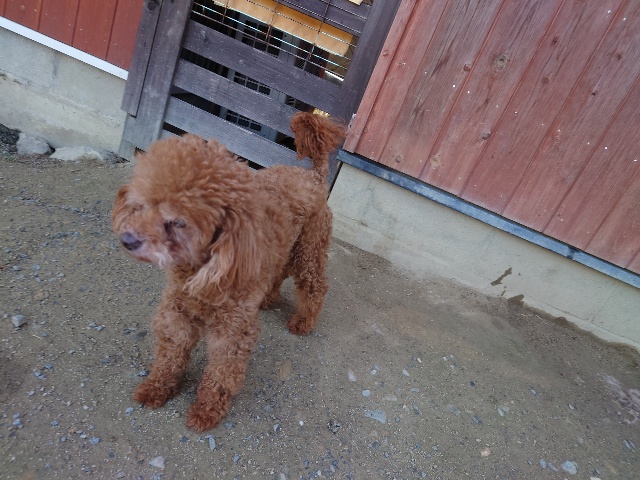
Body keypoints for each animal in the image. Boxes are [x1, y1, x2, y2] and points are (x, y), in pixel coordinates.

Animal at [112, 112, 344, 431]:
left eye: (178, 221)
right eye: (143, 205)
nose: (128, 239)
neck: (200, 268)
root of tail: (314, 175)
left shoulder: (232, 328)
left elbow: (221, 372)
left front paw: (206, 410)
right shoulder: (177, 309)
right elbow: (171, 352)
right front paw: (157, 387)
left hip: (310, 247)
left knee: (315, 285)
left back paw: (303, 322)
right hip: (286, 247)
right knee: (279, 272)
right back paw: (268, 299)